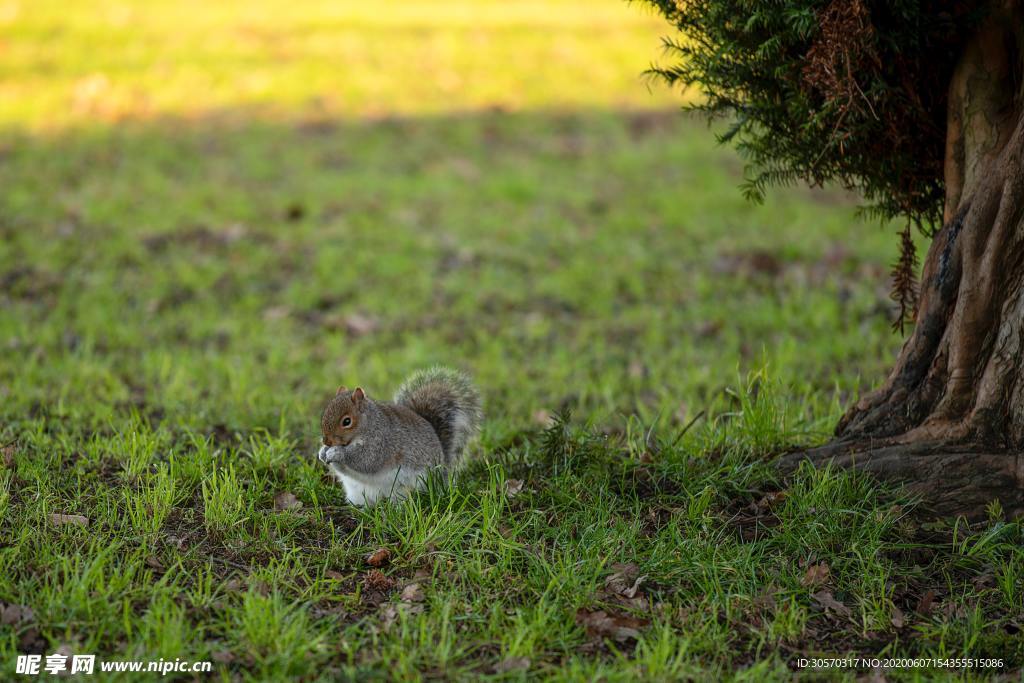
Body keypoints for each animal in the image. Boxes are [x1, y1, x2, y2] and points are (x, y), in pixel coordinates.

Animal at [315, 368, 483, 507]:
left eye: (347, 421)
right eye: (324, 413)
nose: (327, 441)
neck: (368, 425)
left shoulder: (380, 443)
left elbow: (365, 460)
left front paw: (337, 452)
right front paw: (323, 452)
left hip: (404, 488)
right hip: (356, 492)